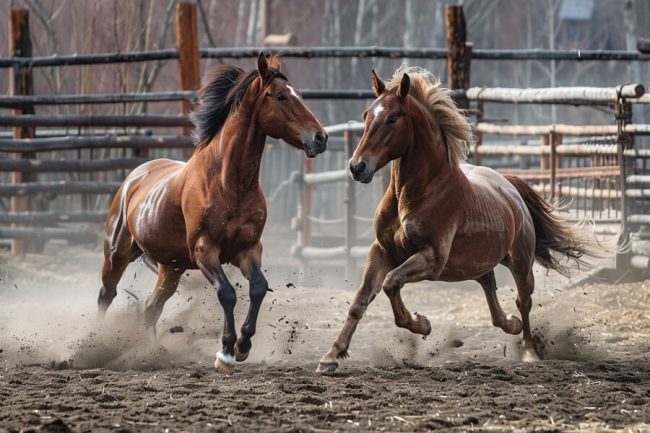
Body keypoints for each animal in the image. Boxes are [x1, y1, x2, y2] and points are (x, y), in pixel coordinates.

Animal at [97, 53, 326, 372]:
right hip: (118, 254)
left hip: (171, 268)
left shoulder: (248, 249)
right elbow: (227, 293)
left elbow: (258, 287)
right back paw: (91, 343)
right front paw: (226, 352)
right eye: (281, 96)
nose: (321, 137)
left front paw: (243, 345)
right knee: (107, 295)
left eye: (300, 95)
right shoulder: (205, 251)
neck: (229, 183)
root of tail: (135, 177)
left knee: (151, 307)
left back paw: (151, 351)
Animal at [316, 67, 596, 372]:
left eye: (391, 118)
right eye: (367, 114)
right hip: (480, 261)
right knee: (490, 288)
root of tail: (509, 186)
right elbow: (361, 300)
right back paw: (510, 324)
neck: (414, 195)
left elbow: (391, 283)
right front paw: (331, 356)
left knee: (523, 301)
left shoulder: (433, 259)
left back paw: (530, 351)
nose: (357, 167)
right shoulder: (381, 251)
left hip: (521, 262)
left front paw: (422, 324)